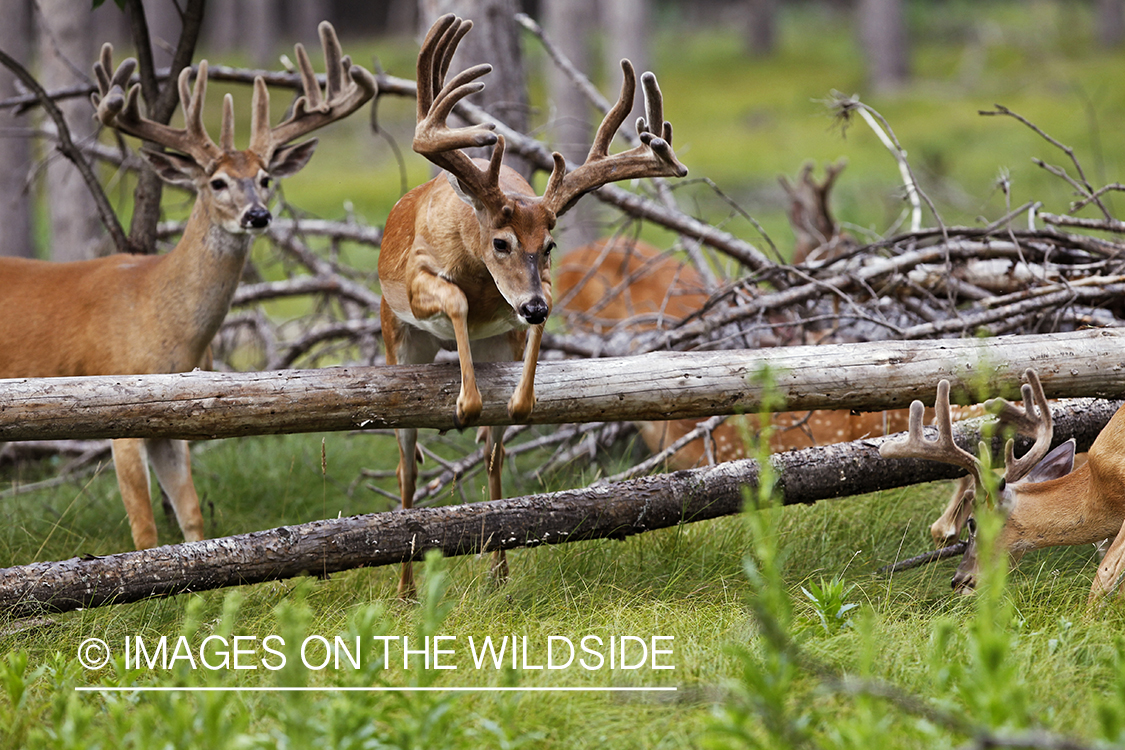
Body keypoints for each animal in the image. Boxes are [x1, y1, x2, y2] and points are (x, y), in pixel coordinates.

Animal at [0, 23, 378, 550]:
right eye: (217, 182)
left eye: (265, 178)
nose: (258, 215)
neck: (162, 315)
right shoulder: (116, 402)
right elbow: (144, 528)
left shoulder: (171, 415)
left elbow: (192, 515)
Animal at [380, 14, 684, 593]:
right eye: (500, 241)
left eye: (550, 244)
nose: (532, 308)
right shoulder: (415, 279)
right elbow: (454, 299)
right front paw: (465, 402)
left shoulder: (528, 299)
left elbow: (540, 321)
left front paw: (521, 401)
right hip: (398, 343)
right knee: (407, 463)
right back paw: (406, 590)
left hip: (493, 349)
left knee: (493, 455)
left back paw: (498, 569)